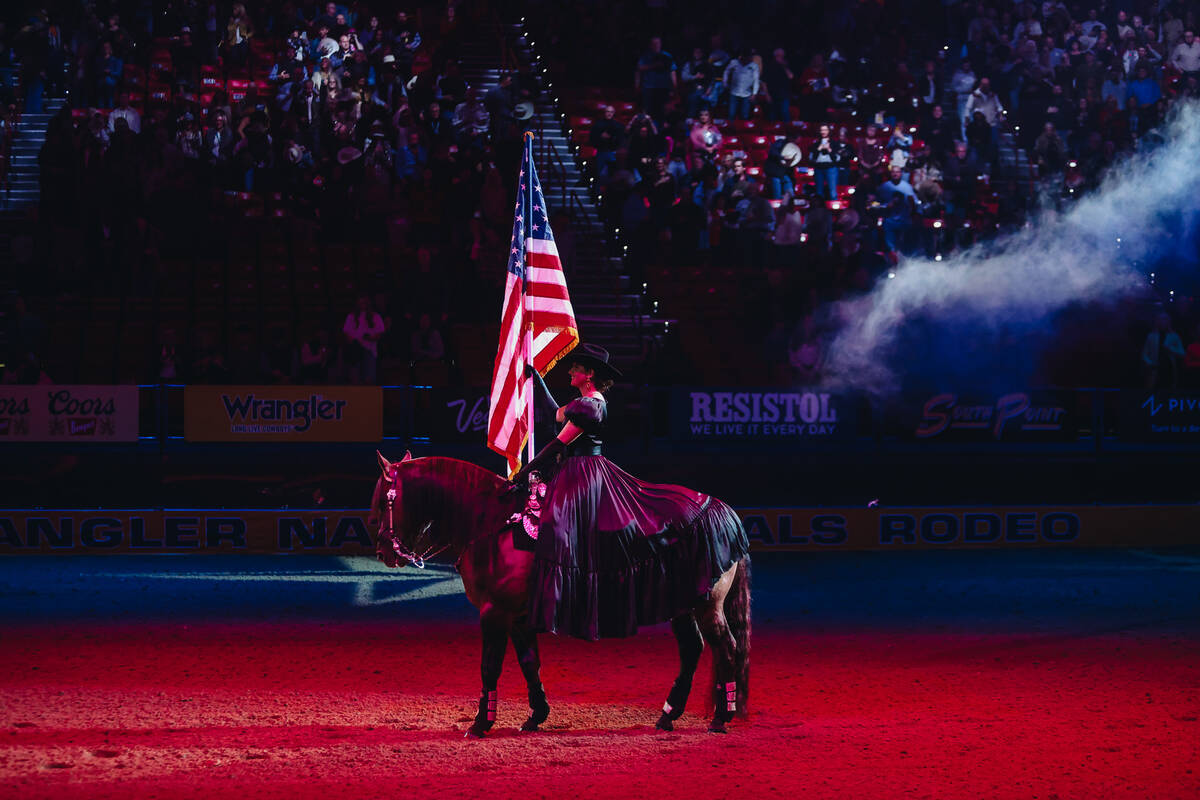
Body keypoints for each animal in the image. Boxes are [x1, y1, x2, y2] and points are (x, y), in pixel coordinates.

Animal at [369, 450, 753, 738]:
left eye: (382, 501)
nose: (384, 552)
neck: (494, 523)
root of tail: (725, 513)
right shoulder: (519, 617)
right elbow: (529, 663)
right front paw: (535, 716)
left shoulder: (494, 613)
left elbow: (489, 666)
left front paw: (480, 724)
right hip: (682, 603)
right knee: (693, 649)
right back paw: (669, 715)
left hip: (708, 605)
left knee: (725, 647)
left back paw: (720, 718)